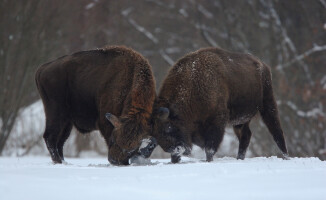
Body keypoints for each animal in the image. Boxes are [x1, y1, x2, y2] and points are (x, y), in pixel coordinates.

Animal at [152, 47, 290, 163]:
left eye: (168, 127)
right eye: (156, 133)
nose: (175, 149)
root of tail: (263, 66)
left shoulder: (217, 121)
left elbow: (210, 148)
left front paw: (209, 161)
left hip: (268, 104)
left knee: (276, 130)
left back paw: (286, 156)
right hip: (240, 121)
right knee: (246, 135)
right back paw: (239, 158)